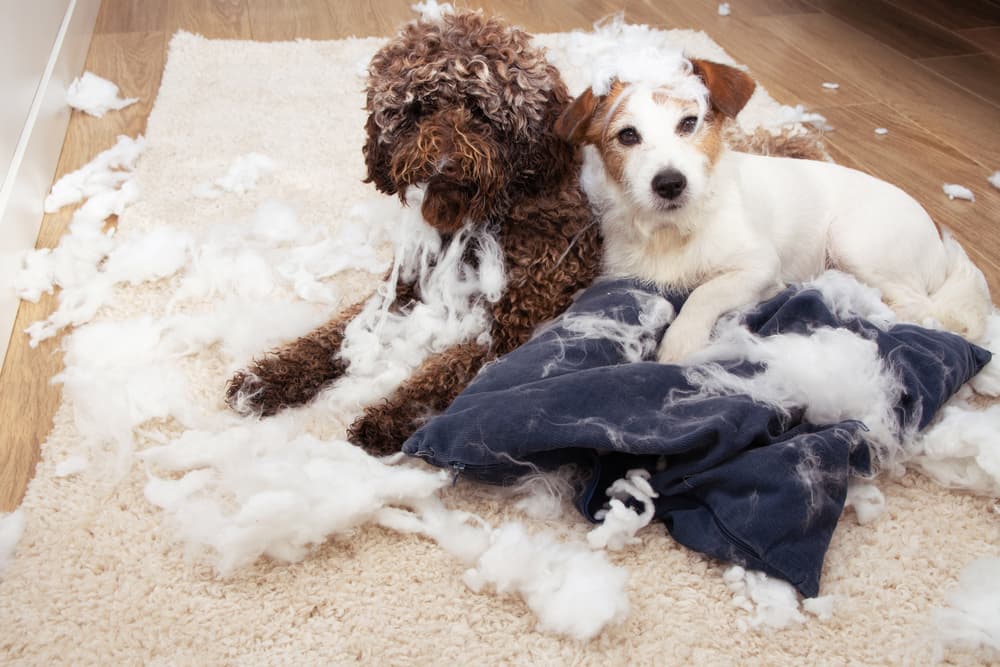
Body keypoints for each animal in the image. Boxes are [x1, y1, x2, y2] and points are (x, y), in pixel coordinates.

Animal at [227, 9, 828, 454]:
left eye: (480, 110)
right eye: (417, 108)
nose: (443, 162)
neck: (492, 214)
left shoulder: (512, 325)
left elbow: (440, 371)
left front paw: (389, 416)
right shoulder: (403, 287)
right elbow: (329, 336)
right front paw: (268, 379)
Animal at [556, 58, 992, 366]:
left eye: (689, 123)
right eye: (628, 135)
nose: (669, 183)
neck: (673, 230)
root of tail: (939, 236)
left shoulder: (758, 266)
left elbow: (705, 291)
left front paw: (681, 339)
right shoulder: (621, 274)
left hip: (852, 242)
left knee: (916, 306)